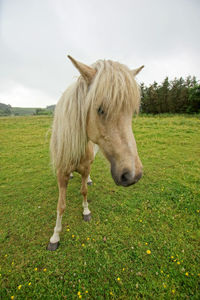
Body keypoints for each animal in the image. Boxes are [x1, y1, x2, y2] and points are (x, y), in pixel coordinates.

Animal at [47, 56, 144, 251]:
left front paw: (86, 211)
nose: (133, 175)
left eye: (131, 113)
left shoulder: (85, 168)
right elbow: (61, 206)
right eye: (100, 109)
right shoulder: (61, 173)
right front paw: (55, 236)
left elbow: (84, 190)